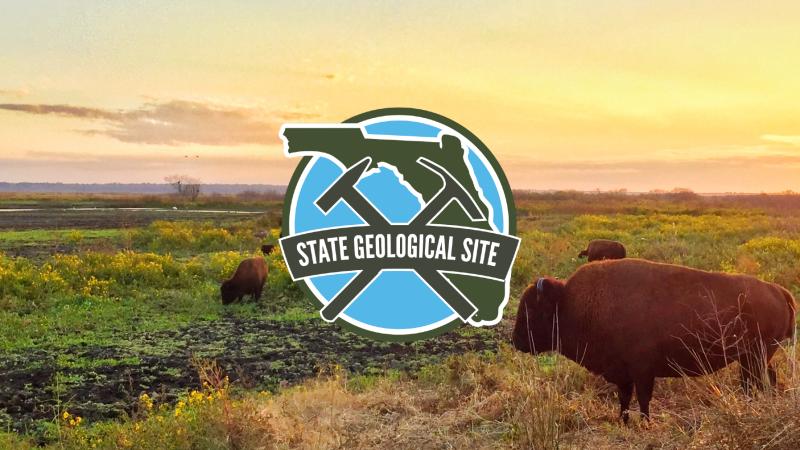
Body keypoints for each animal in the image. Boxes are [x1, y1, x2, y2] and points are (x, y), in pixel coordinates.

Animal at [512, 258, 792, 424]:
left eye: (532, 310)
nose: (516, 341)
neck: (569, 304)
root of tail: (778, 290)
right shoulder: (624, 373)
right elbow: (625, 399)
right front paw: (623, 421)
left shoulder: (642, 371)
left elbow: (643, 398)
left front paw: (645, 423)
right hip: (754, 357)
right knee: (762, 379)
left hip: (755, 356)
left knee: (756, 381)